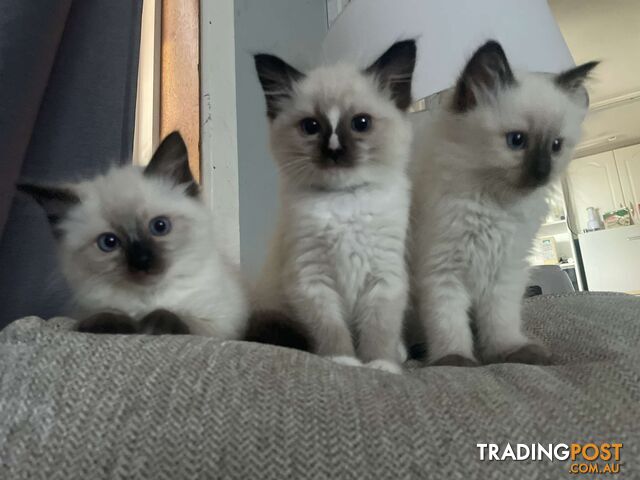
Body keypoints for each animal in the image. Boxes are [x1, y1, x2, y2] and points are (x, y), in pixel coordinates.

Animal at [17, 131, 248, 338]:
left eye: (160, 226)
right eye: (109, 242)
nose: (142, 261)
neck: (149, 300)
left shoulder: (220, 324)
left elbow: (181, 318)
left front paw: (153, 324)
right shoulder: (86, 311)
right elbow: (106, 314)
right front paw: (110, 324)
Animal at [252, 40, 418, 372]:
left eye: (361, 123)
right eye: (311, 126)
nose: (334, 150)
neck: (344, 200)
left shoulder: (384, 278)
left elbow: (379, 330)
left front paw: (380, 365)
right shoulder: (312, 279)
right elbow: (331, 328)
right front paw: (344, 361)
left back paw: (399, 354)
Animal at [410, 41, 596, 366]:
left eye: (556, 146)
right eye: (516, 140)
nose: (542, 172)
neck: (494, 205)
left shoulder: (504, 272)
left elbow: (500, 324)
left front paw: (508, 353)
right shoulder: (441, 271)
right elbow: (448, 325)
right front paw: (455, 361)